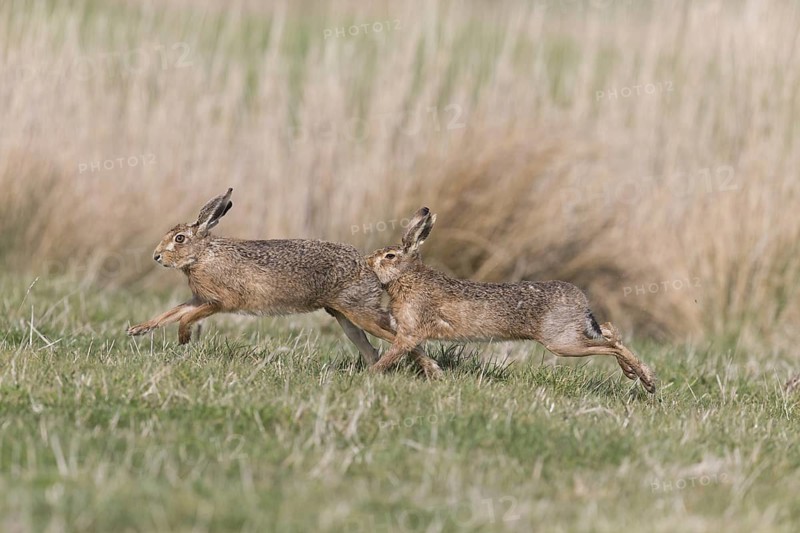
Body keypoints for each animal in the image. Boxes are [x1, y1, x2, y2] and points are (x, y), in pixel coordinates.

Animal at [126, 188, 442, 379]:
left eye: (179, 239)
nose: (156, 256)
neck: (202, 255)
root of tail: (369, 268)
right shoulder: (199, 298)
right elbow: (172, 313)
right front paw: (137, 330)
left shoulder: (220, 301)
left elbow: (186, 317)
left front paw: (183, 338)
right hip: (345, 316)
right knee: (373, 345)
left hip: (360, 310)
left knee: (403, 336)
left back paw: (433, 370)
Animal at [365, 207, 656, 393]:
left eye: (389, 256)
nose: (367, 262)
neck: (407, 277)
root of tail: (580, 301)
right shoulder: (408, 333)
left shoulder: (410, 332)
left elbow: (393, 354)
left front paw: (370, 374)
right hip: (574, 334)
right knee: (609, 331)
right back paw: (638, 374)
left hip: (562, 343)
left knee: (610, 345)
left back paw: (645, 380)